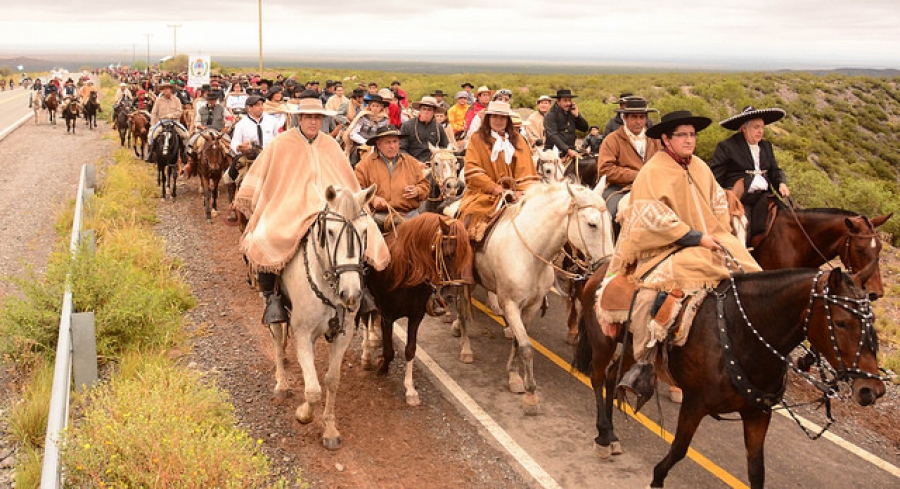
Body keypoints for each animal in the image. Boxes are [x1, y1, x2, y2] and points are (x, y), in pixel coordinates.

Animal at [269, 185, 377, 450]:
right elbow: (313, 391)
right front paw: (303, 414)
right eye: (329, 232)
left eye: (365, 231)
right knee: (277, 337)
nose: (351, 294)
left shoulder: (343, 335)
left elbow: (332, 380)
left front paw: (329, 430)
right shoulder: (303, 334)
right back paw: (281, 383)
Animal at [361, 213, 473, 405]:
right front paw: (382, 365)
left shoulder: (416, 316)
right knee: (364, 320)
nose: (452, 295)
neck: (405, 274)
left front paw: (410, 390)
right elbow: (389, 350)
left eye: (466, 256)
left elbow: (410, 349)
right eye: (448, 255)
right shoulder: (387, 316)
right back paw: (366, 355)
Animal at [453, 180, 615, 415]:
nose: (608, 268)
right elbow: (527, 348)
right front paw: (530, 393)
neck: (529, 254)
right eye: (592, 224)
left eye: (610, 223)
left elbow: (519, 342)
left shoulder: (532, 306)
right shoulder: (510, 304)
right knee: (462, 309)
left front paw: (513, 376)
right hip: (462, 279)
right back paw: (465, 347)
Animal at [573, 261, 884, 488]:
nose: (871, 390)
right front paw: (657, 477)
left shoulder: (758, 414)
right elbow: (679, 449)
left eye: (871, 323)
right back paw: (603, 435)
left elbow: (756, 471)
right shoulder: (695, 403)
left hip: (632, 348)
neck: (741, 334)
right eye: (841, 323)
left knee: (612, 378)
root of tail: (600, 267)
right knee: (598, 378)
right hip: (604, 341)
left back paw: (612, 435)